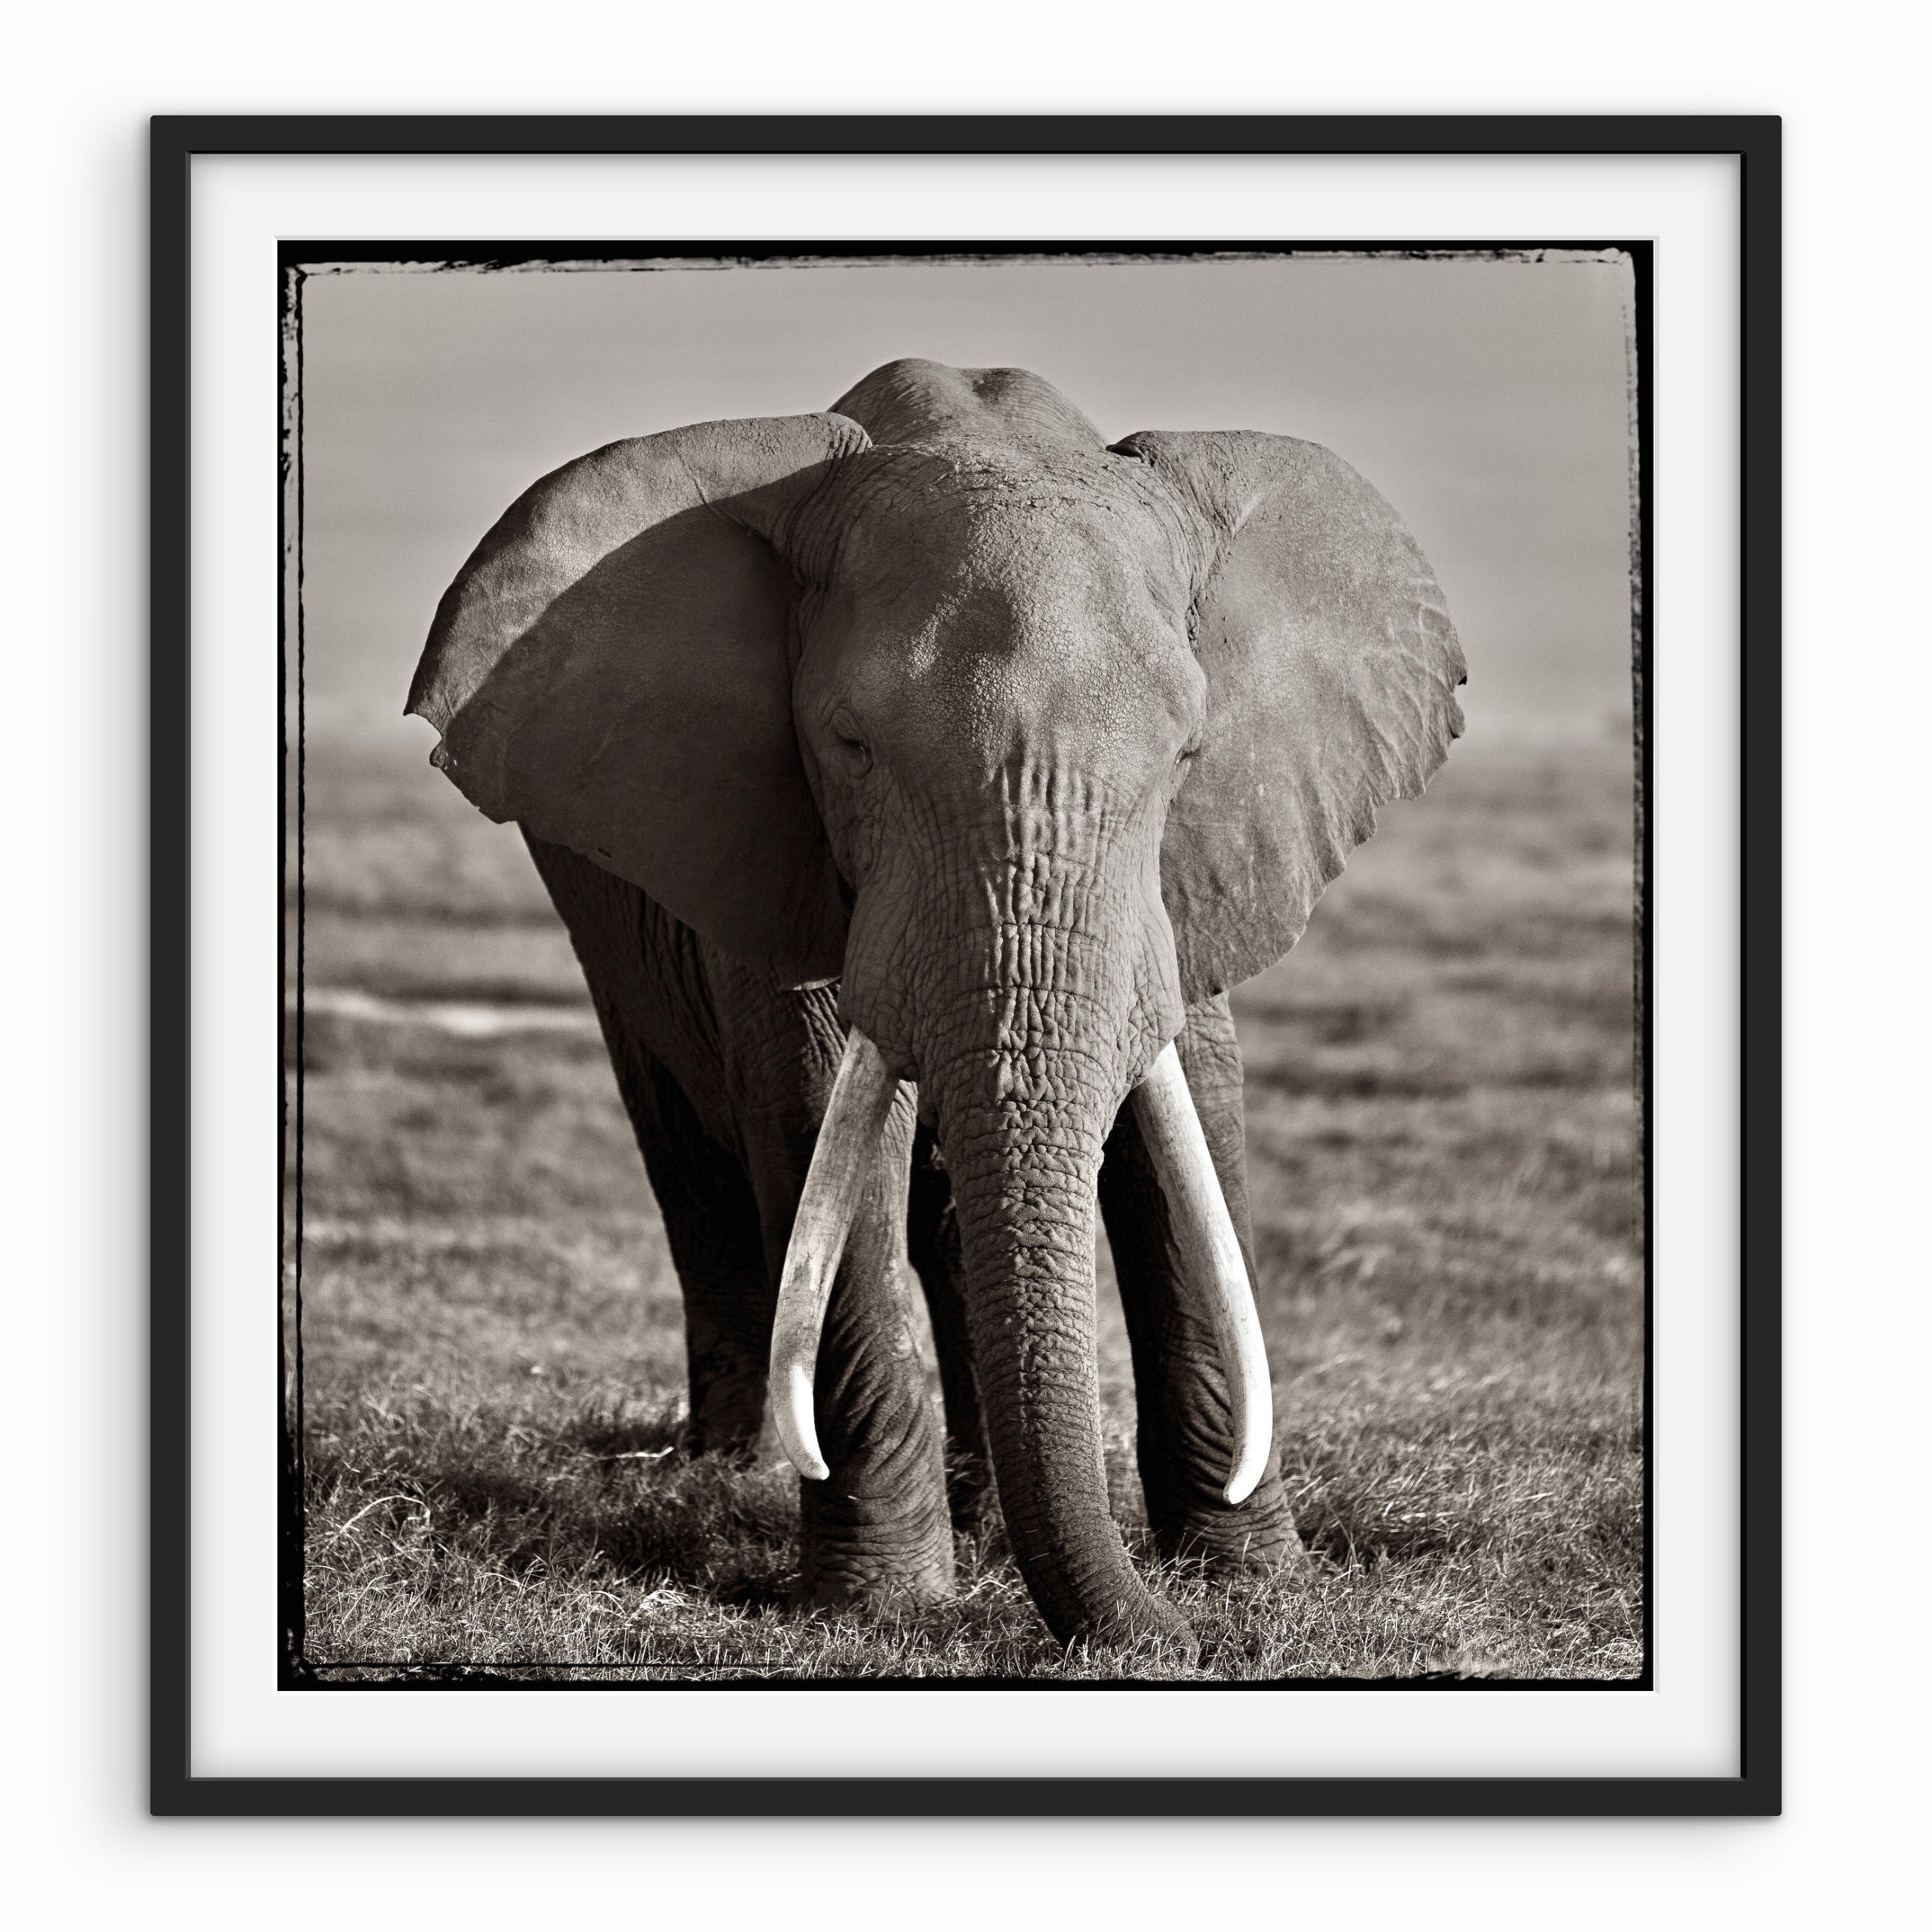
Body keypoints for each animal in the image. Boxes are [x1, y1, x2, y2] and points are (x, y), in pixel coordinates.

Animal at [407, 357, 1464, 1655]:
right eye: (849, 742)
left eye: (1185, 755)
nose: (1169, 1641)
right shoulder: (778, 842)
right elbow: (817, 1111)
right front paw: (884, 1603)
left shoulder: (1198, 869)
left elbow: (1193, 1131)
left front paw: (1248, 1580)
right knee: (688, 1149)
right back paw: (726, 1472)